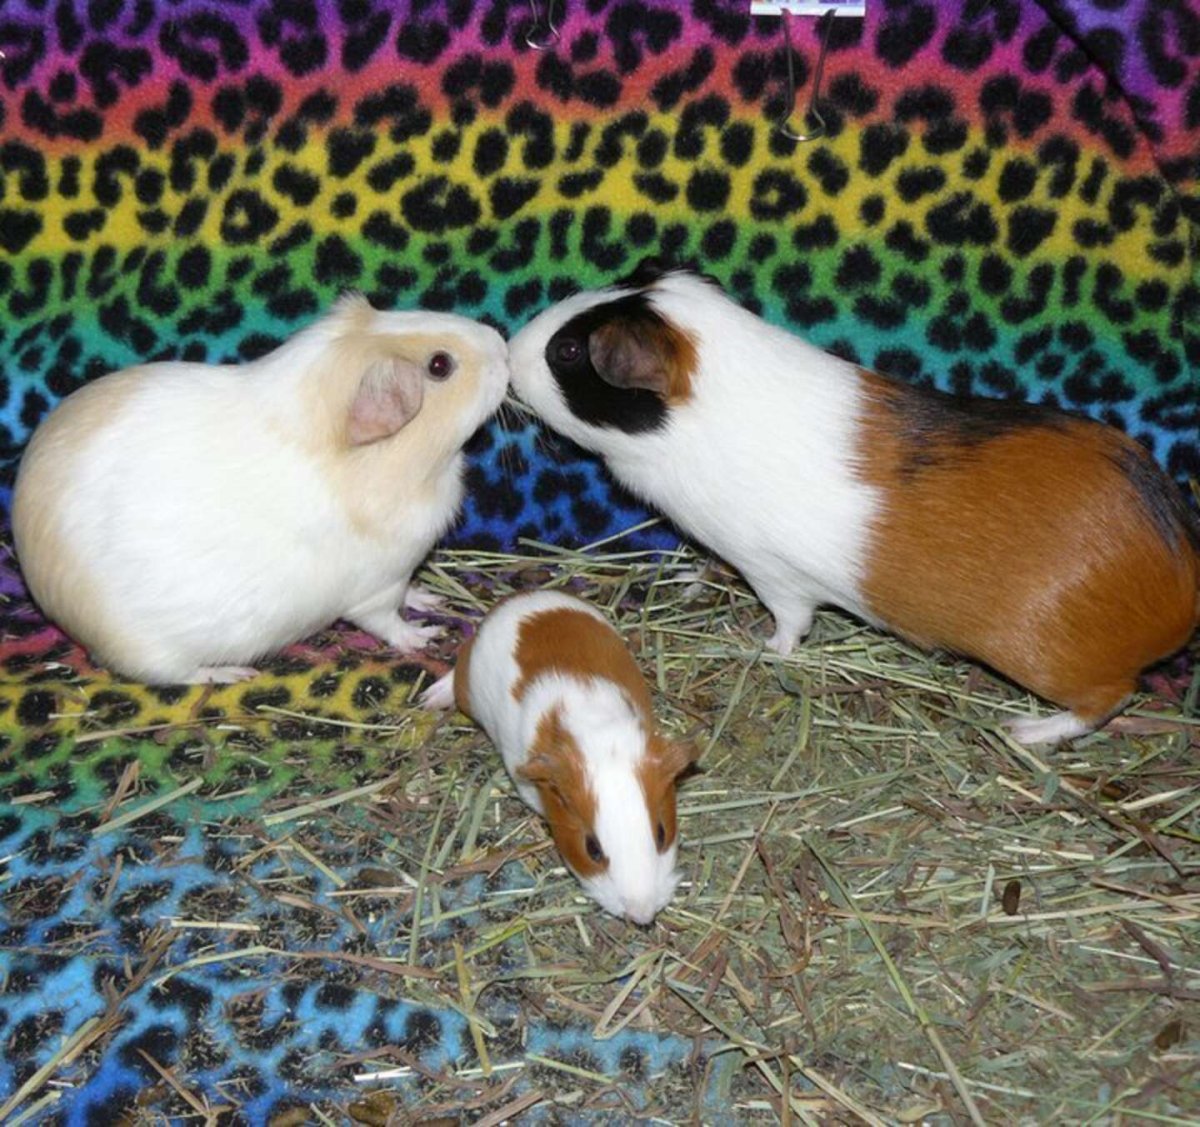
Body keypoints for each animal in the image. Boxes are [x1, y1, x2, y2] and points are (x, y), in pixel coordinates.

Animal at [12, 294, 509, 683]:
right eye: (440, 365)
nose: (501, 343)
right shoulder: (377, 586)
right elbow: (387, 621)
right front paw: (423, 636)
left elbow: (411, 592)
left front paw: (430, 597)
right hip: (149, 651)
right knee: (179, 676)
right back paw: (233, 673)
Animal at [422, 590, 699, 925]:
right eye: (592, 848)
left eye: (661, 833)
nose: (642, 915)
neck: (598, 733)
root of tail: (516, 602)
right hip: (466, 684)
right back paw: (429, 698)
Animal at [506, 259, 1199, 745]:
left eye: (569, 351)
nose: (511, 348)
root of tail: (1181, 588)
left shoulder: (775, 577)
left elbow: (790, 623)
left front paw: (760, 646)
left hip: (1051, 664)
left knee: (1106, 700)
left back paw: (1025, 732)